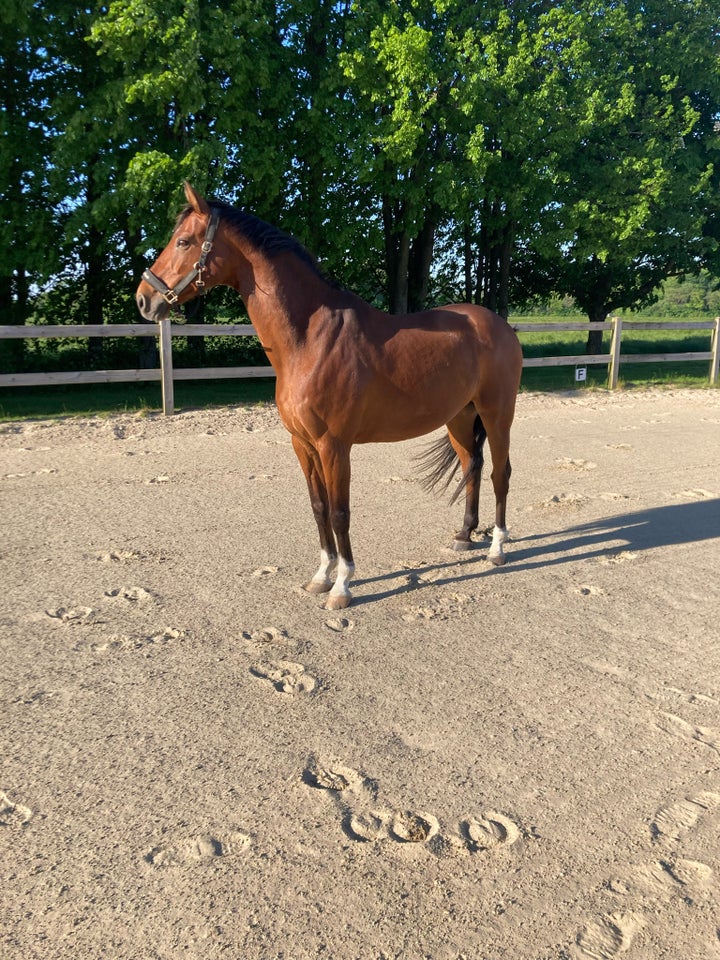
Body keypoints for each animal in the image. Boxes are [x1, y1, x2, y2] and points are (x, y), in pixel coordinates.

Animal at [136, 184, 524, 612]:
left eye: (183, 241)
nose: (143, 299)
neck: (310, 339)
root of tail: (499, 325)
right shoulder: (302, 444)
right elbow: (318, 507)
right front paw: (321, 577)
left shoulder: (333, 445)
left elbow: (340, 512)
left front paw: (343, 586)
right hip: (459, 417)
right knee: (473, 466)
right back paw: (464, 535)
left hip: (497, 415)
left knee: (500, 473)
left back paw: (497, 548)